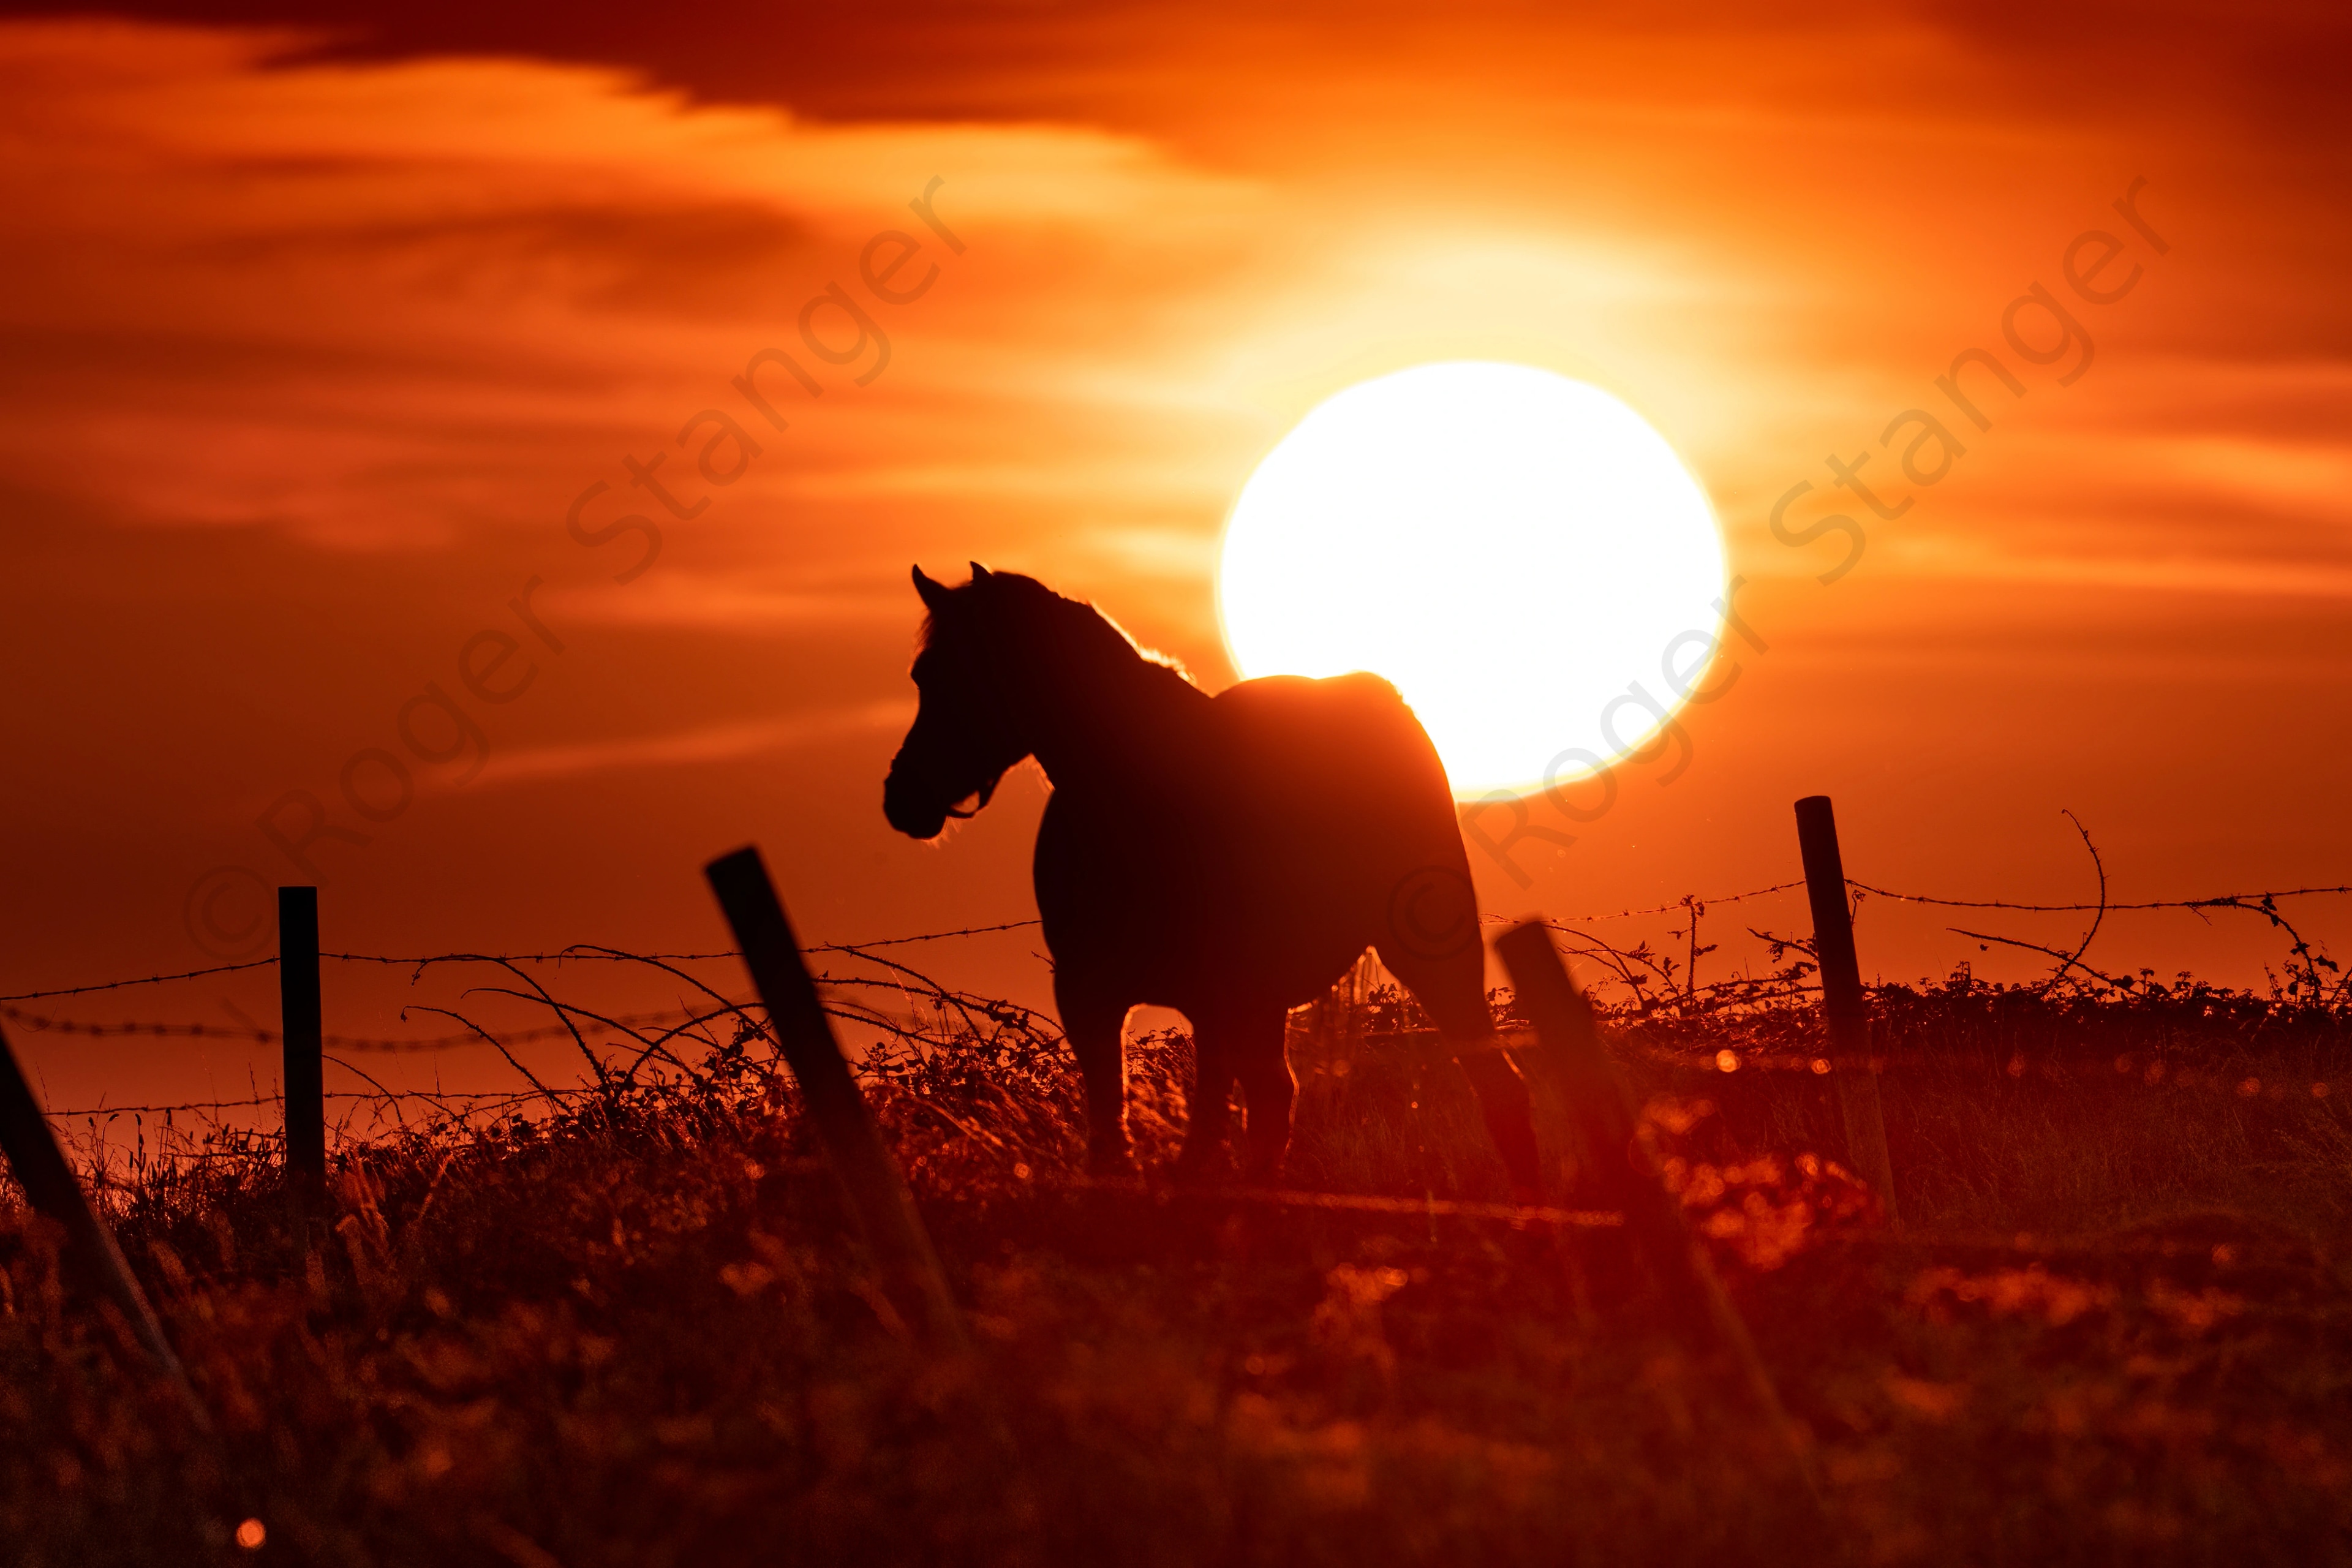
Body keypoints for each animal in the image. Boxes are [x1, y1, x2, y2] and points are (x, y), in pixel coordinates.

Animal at [884, 571, 1543, 1194]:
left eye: (959, 673)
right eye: (921, 673)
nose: (902, 798)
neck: (1136, 806)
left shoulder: (1215, 1000)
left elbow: (1204, 1139)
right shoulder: (1090, 994)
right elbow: (1114, 1134)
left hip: (1426, 958)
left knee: (1496, 1086)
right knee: (1271, 1103)